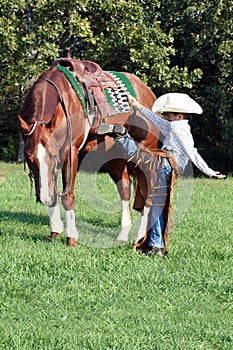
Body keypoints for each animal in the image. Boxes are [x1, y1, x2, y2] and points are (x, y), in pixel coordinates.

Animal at [17, 57, 157, 247]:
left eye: (53, 155)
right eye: (29, 159)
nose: (43, 198)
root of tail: (147, 92)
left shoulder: (69, 153)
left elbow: (67, 196)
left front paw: (71, 238)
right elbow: (54, 192)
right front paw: (54, 232)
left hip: (146, 153)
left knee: (148, 191)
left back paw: (140, 238)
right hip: (115, 157)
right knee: (125, 188)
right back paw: (123, 234)